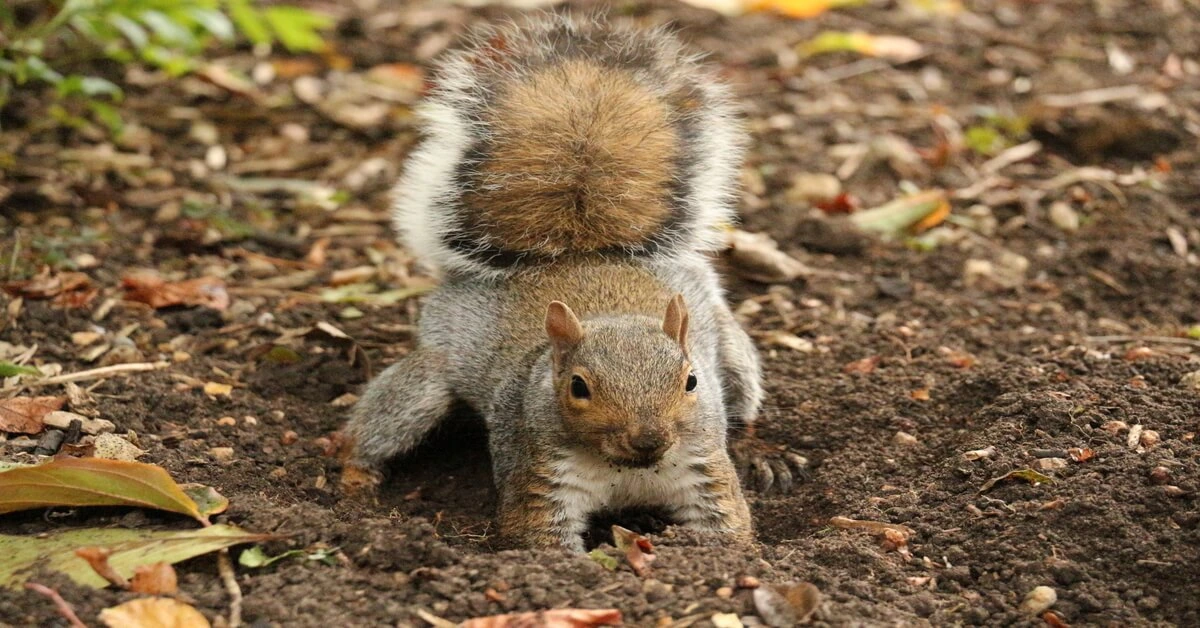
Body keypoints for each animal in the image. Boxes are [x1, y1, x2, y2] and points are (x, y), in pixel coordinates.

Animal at [338, 14, 806, 552]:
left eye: (691, 381)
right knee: (375, 428)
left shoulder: (703, 469)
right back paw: (354, 480)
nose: (649, 439)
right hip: (427, 382)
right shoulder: (541, 477)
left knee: (743, 398)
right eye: (578, 387)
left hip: (732, 349)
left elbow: (726, 530)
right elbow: (542, 541)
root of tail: (577, 254)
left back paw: (761, 450)